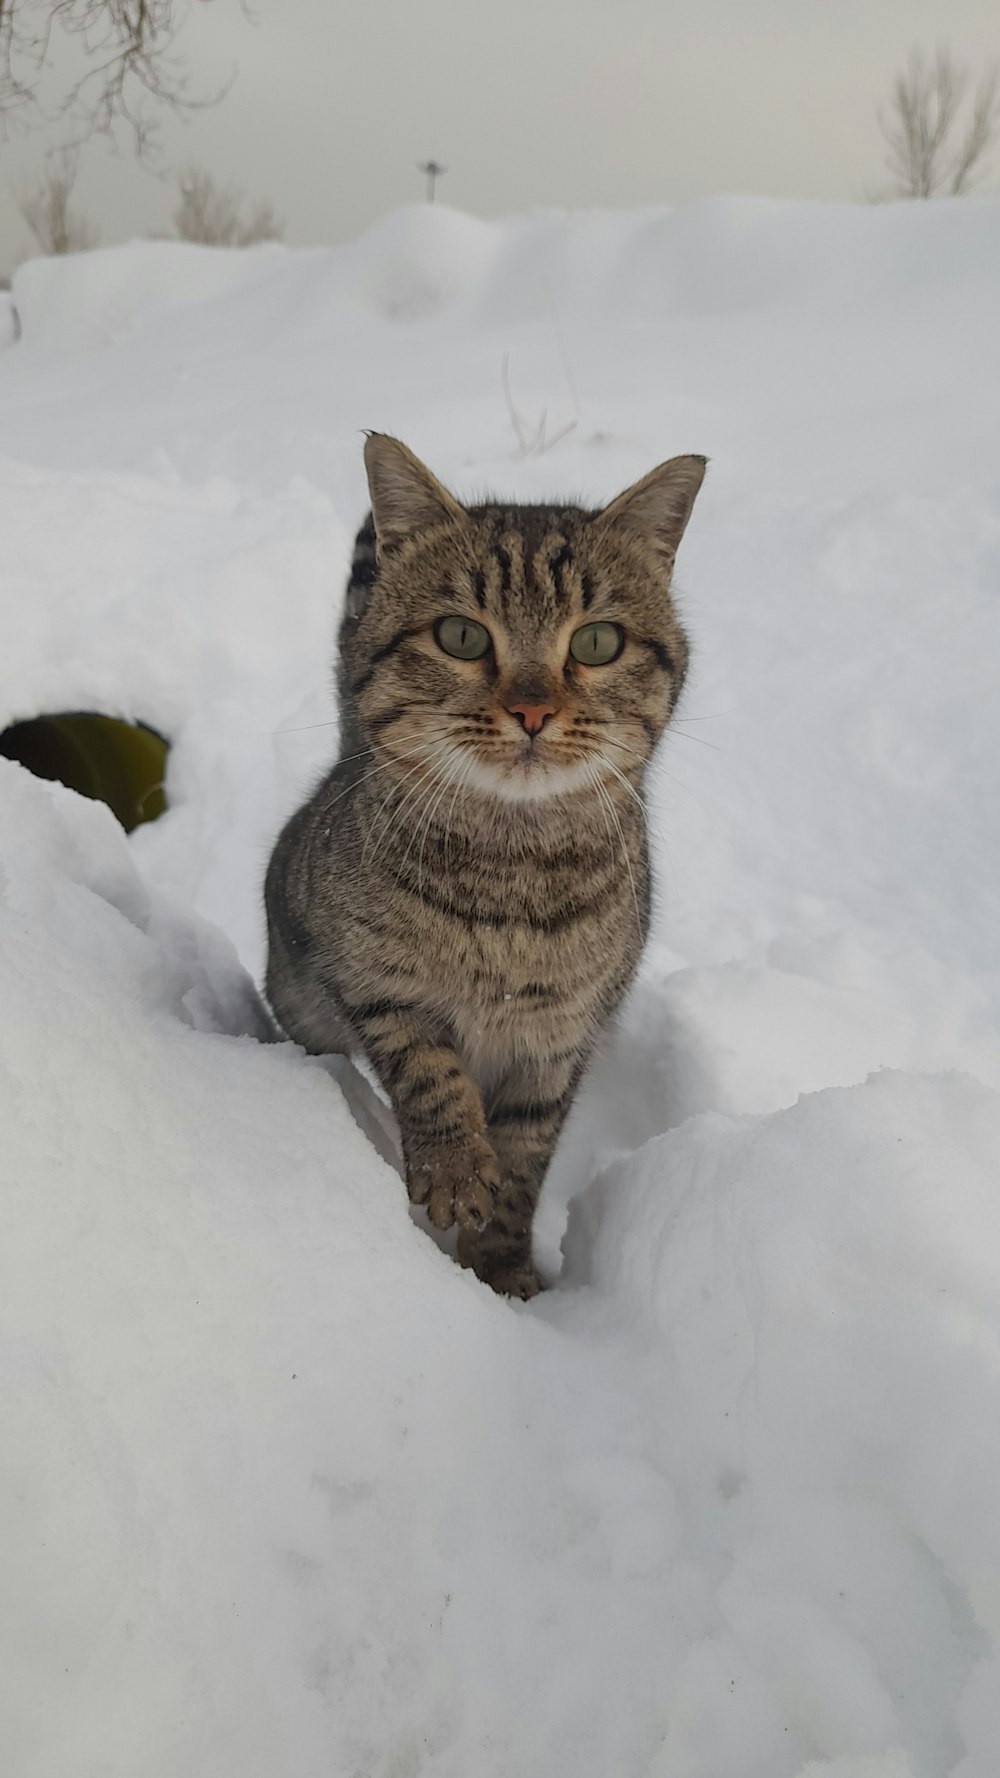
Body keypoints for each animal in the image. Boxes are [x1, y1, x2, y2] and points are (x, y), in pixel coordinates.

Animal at [263, 430, 701, 1294]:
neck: (509, 873)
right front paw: (455, 1170)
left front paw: (502, 1272)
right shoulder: (375, 982)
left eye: (597, 641)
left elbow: (527, 1158)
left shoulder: (558, 1040)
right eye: (461, 635)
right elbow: (430, 1072)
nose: (531, 710)